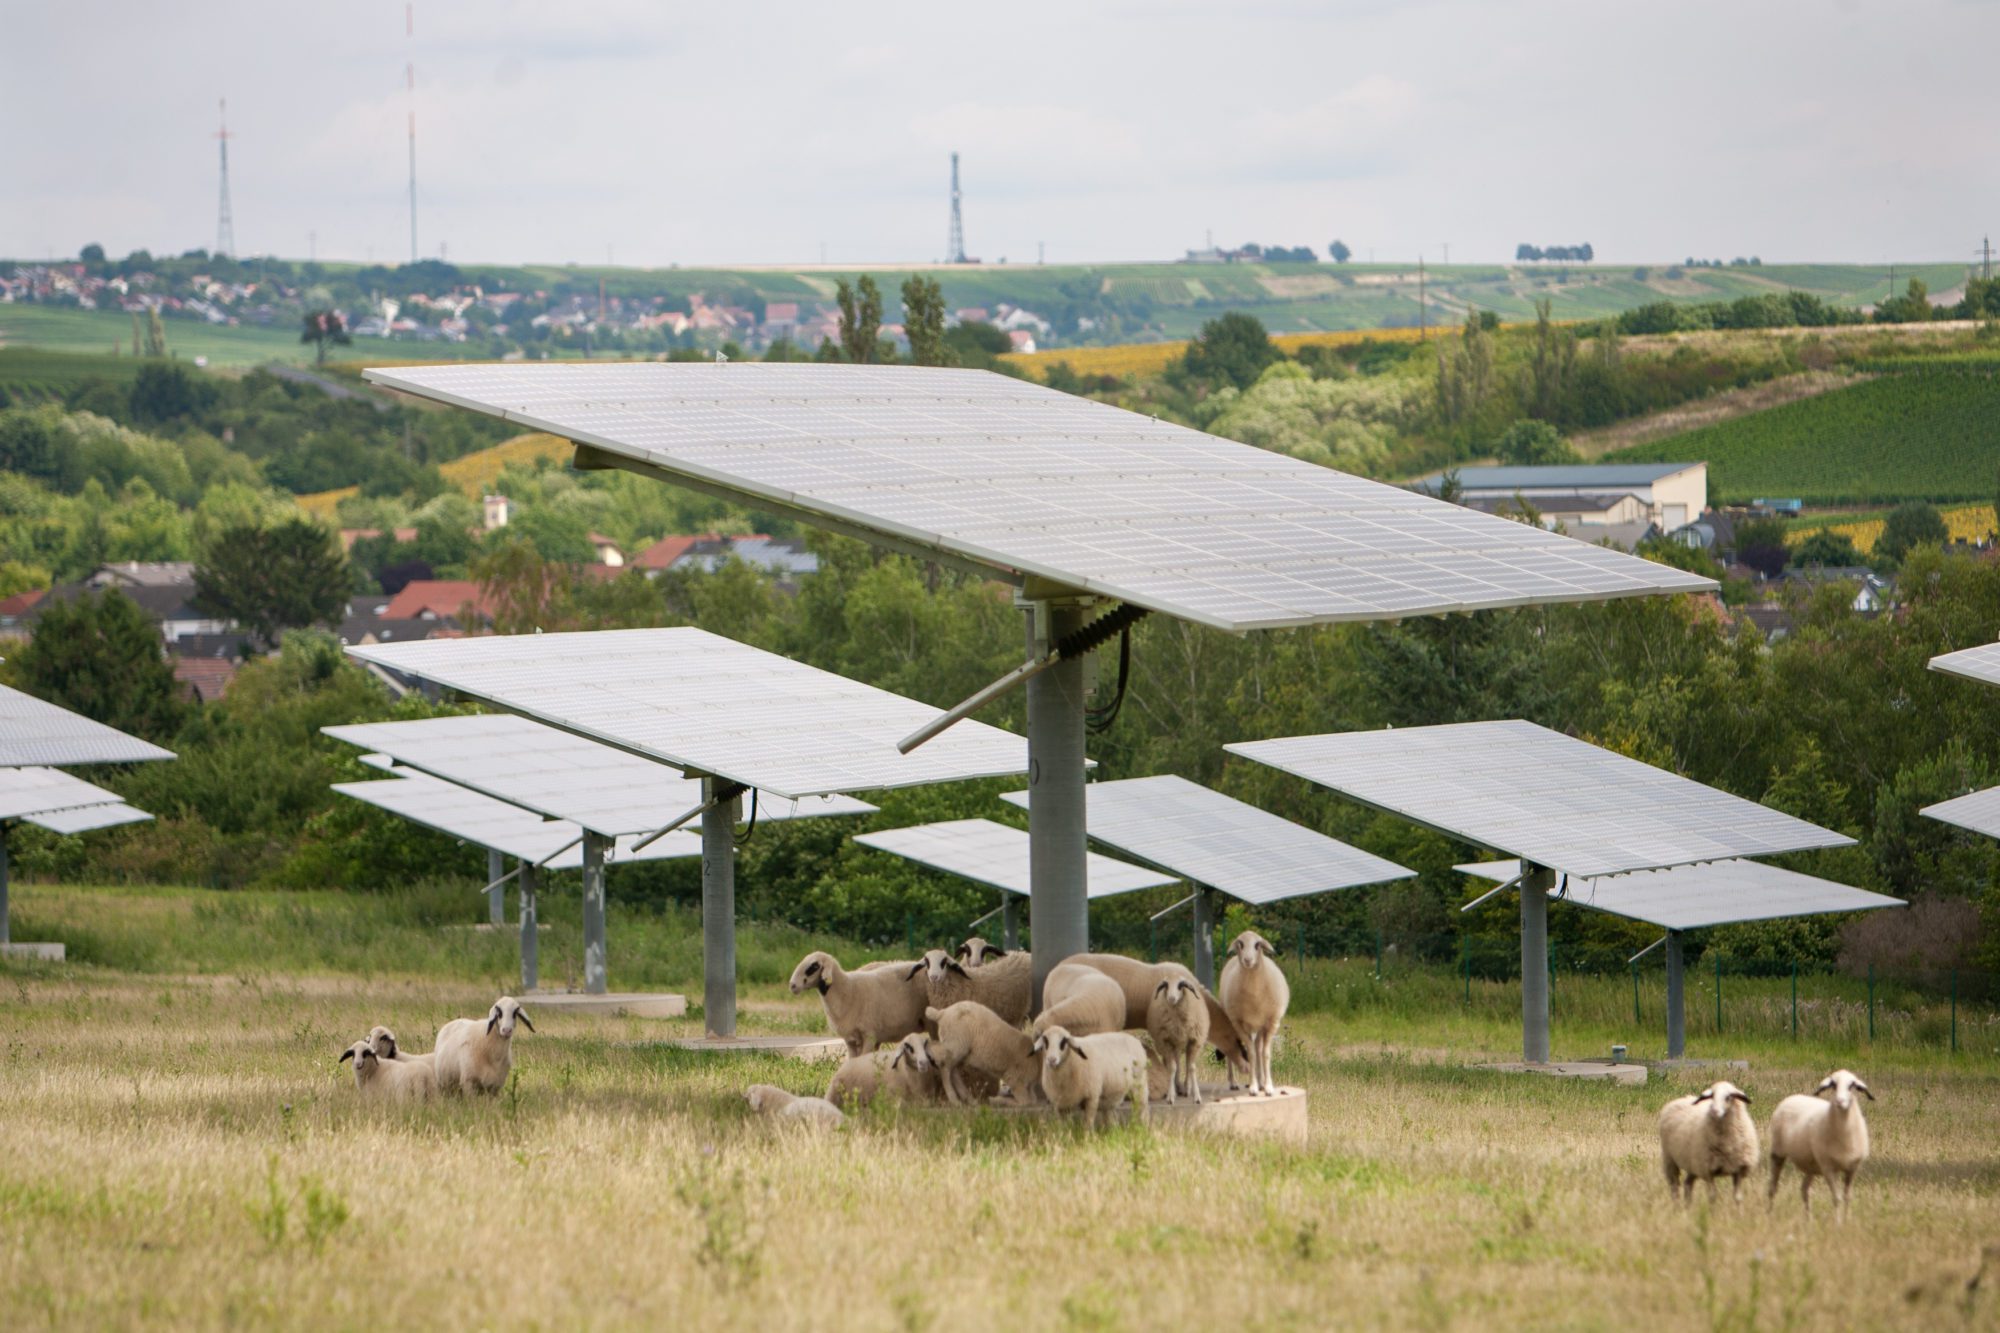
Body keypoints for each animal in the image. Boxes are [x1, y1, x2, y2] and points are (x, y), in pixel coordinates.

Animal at [1152, 972, 1208, 1104]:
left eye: (1180, 985)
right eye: (1166, 985)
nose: (1171, 998)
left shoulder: (1194, 1041)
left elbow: (1192, 1067)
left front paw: (1197, 1097)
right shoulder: (1167, 1042)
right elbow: (1172, 1067)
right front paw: (1170, 1096)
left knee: (1187, 1065)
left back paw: (1187, 1088)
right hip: (1175, 1045)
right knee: (1176, 1064)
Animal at [1208, 928, 1288, 1096]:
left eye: (1257, 944)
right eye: (1240, 944)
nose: (1248, 960)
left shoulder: (1271, 1023)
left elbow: (1264, 1054)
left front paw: (1268, 1086)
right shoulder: (1239, 1024)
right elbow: (1251, 1054)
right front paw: (1253, 1087)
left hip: (1258, 1026)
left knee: (1258, 1048)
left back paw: (1261, 1081)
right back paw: (1233, 1083)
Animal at [1768, 1064, 1872, 1216]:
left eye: (1852, 1085)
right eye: (1833, 1084)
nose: (1840, 1101)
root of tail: (1792, 1097)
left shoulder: (1852, 1168)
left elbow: (1847, 1197)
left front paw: (1847, 1219)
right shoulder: (1828, 1168)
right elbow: (1837, 1198)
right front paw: (1838, 1221)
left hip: (1811, 1165)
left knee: (1804, 1189)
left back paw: (1808, 1219)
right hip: (1778, 1153)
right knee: (1772, 1188)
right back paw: (1769, 1213)